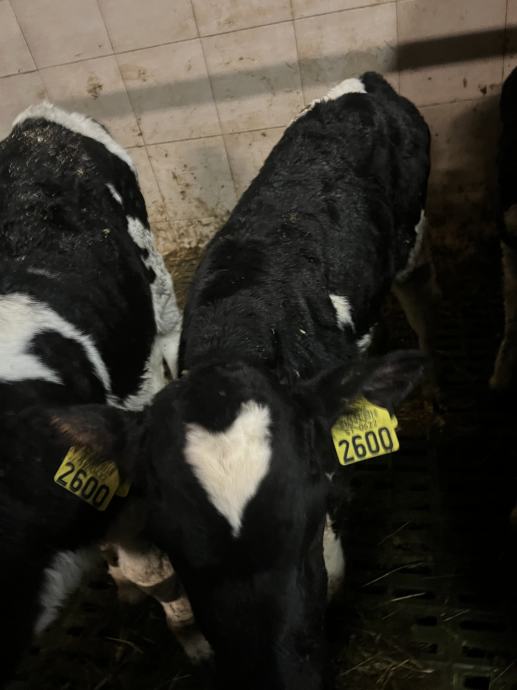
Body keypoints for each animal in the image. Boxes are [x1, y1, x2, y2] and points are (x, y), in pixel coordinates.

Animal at [52, 72, 436, 690]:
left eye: (312, 512)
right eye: (175, 540)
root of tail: (366, 83)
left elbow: (332, 576)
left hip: (413, 236)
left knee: (418, 288)